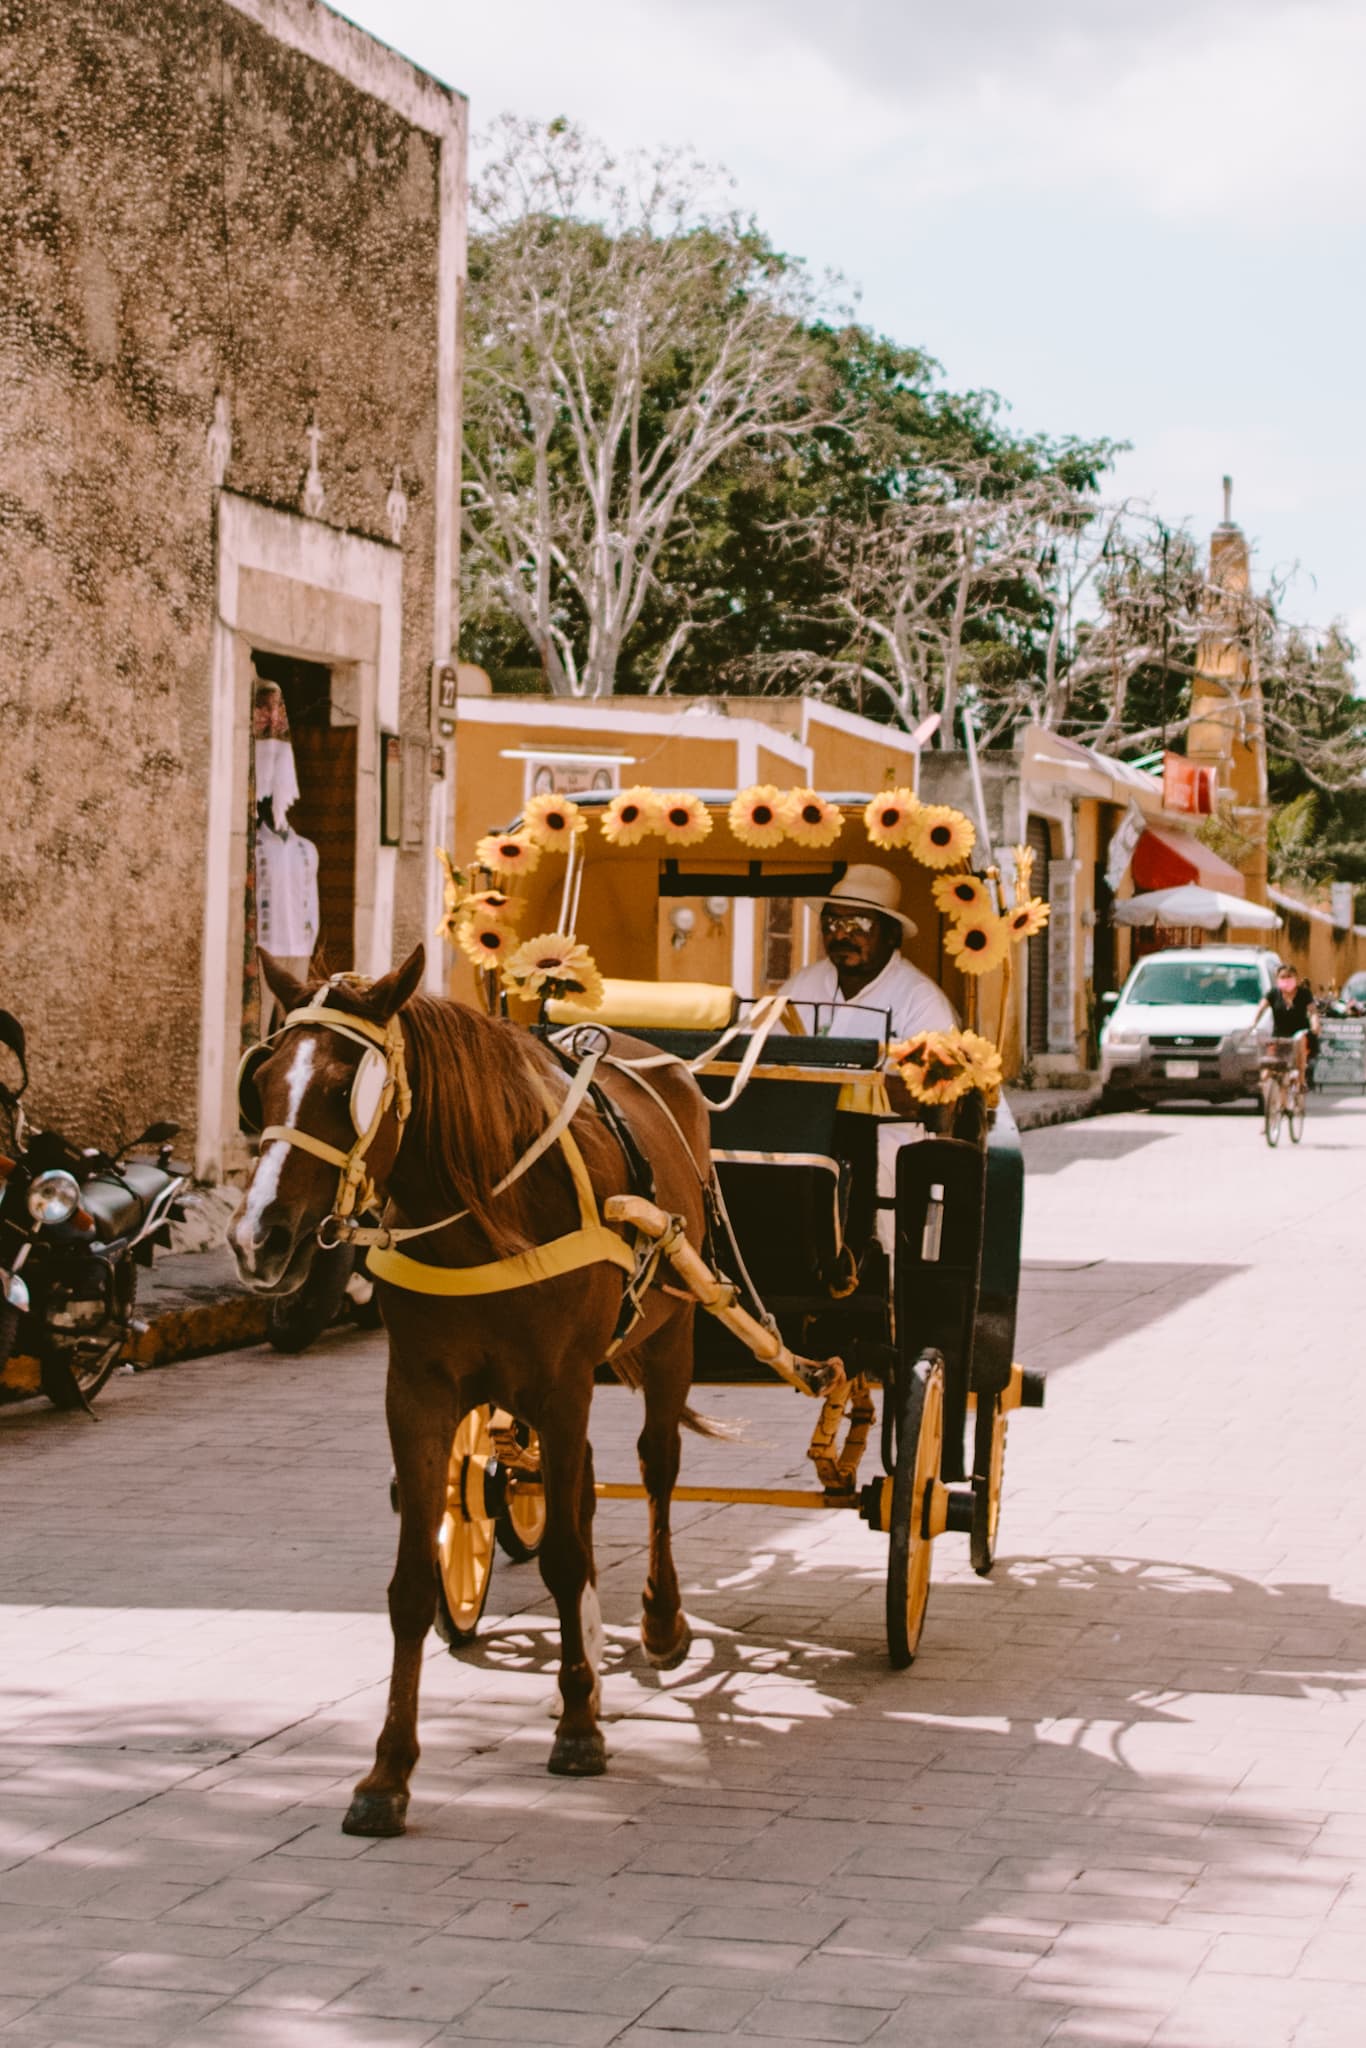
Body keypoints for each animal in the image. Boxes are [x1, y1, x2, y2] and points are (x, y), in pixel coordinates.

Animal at [228, 946, 712, 1843]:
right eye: (265, 1078)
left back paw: (660, 1622)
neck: (487, 1206)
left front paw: (579, 1729)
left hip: (672, 1335)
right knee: (582, 1494)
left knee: (657, 1467)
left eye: (346, 1088)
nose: (255, 1238)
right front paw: (387, 1774)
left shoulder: (562, 1385)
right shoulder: (417, 1395)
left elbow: (564, 1557)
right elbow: (413, 1584)